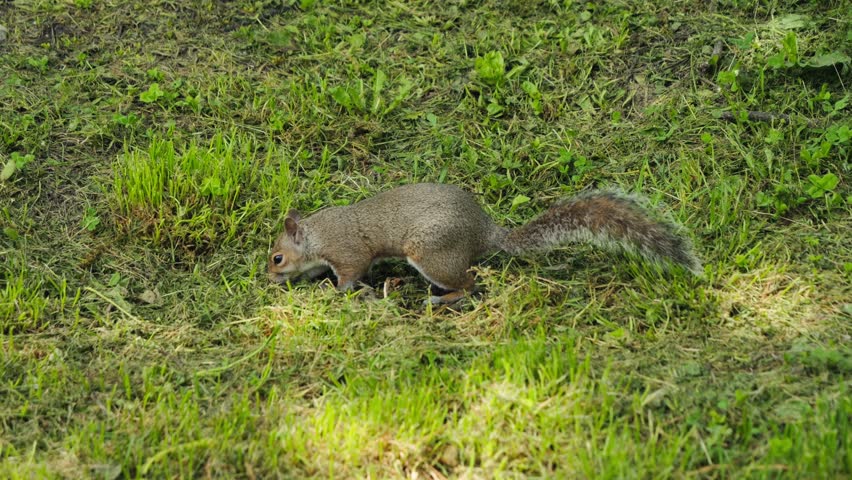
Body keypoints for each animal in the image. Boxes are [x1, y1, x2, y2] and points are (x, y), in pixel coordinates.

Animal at [268, 183, 701, 304]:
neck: (315, 234)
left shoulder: (348, 252)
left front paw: (334, 293)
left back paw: (442, 299)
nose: (270, 280)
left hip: (430, 253)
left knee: (471, 283)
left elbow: (352, 274)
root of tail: (486, 233)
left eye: (277, 258)